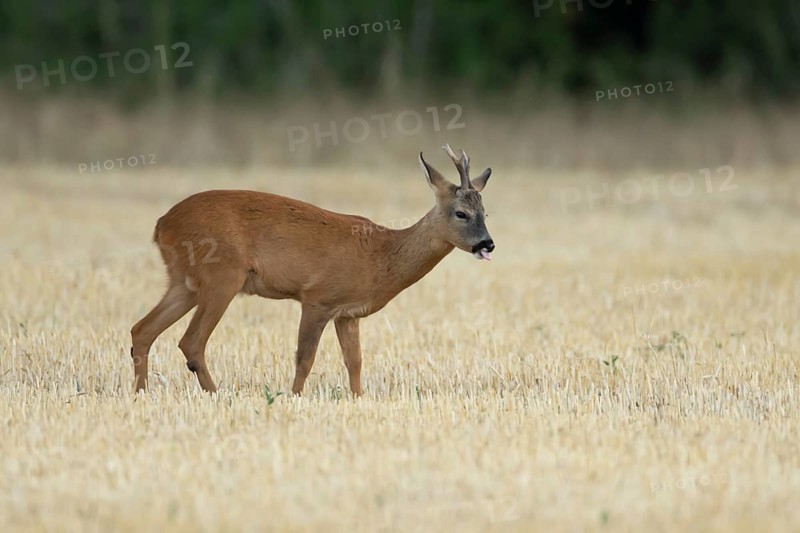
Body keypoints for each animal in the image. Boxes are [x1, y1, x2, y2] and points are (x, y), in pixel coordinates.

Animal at [130, 144, 494, 396]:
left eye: (485, 213)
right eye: (461, 213)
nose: (487, 244)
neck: (382, 257)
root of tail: (162, 225)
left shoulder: (348, 313)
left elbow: (355, 362)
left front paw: (358, 399)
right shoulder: (317, 297)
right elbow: (305, 358)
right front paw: (295, 398)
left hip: (185, 282)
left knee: (142, 330)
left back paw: (141, 394)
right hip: (222, 275)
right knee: (191, 342)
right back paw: (216, 394)